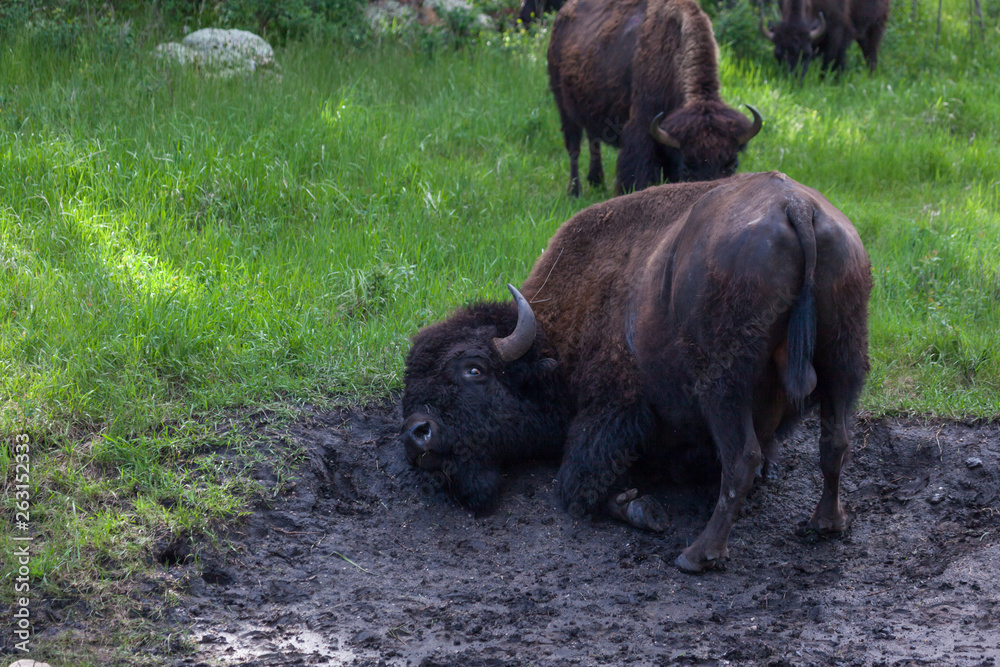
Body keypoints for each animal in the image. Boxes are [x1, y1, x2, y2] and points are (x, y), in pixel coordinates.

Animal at [400, 172, 871, 572]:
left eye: (473, 369)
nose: (415, 434)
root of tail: (796, 206)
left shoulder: (612, 412)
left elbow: (577, 484)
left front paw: (640, 507)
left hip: (724, 385)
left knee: (742, 458)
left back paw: (697, 555)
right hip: (844, 357)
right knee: (835, 441)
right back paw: (826, 524)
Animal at [548, 0, 762, 196]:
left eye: (732, 165)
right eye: (686, 168)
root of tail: (562, 15)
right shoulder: (643, 131)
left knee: (594, 141)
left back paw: (597, 182)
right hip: (564, 107)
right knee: (574, 148)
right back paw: (574, 191)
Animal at [761, 0, 890, 77]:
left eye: (806, 54)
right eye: (778, 55)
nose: (793, 79)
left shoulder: (836, 30)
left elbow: (830, 58)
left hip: (876, 26)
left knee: (871, 55)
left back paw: (869, 77)